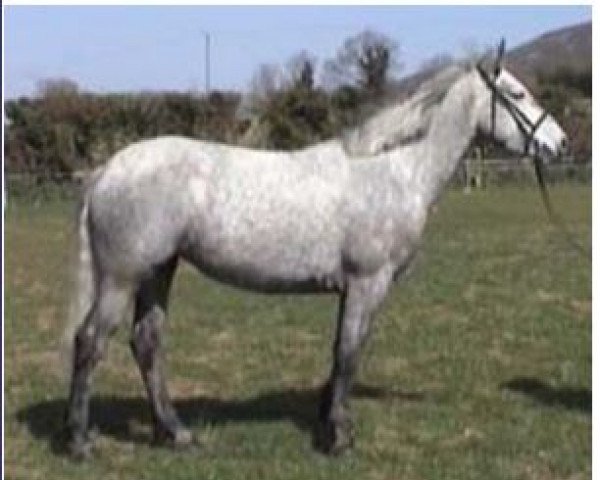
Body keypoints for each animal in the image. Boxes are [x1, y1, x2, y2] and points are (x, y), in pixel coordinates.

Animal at [64, 46, 568, 462]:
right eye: (517, 94)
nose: (559, 143)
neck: (393, 169)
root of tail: (108, 170)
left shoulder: (352, 288)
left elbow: (340, 353)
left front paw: (328, 422)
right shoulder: (368, 282)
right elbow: (350, 353)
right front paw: (340, 438)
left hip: (158, 272)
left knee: (146, 343)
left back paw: (175, 433)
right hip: (123, 277)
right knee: (90, 342)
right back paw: (80, 442)